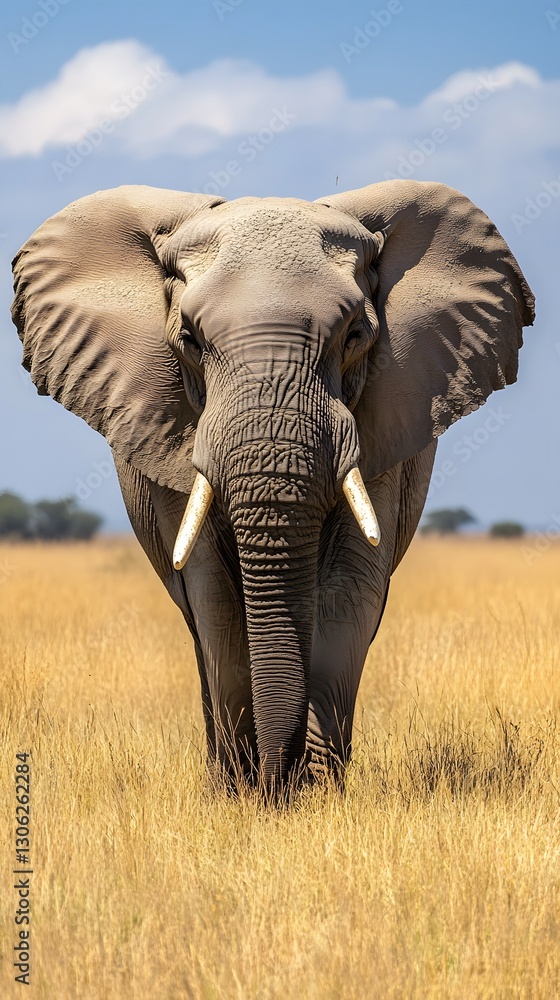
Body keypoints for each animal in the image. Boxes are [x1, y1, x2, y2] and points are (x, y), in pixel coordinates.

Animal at [11, 180, 534, 795]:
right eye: (189, 339)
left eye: (355, 336)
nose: (277, 777)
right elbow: (214, 592)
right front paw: (244, 793)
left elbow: (349, 584)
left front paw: (316, 792)